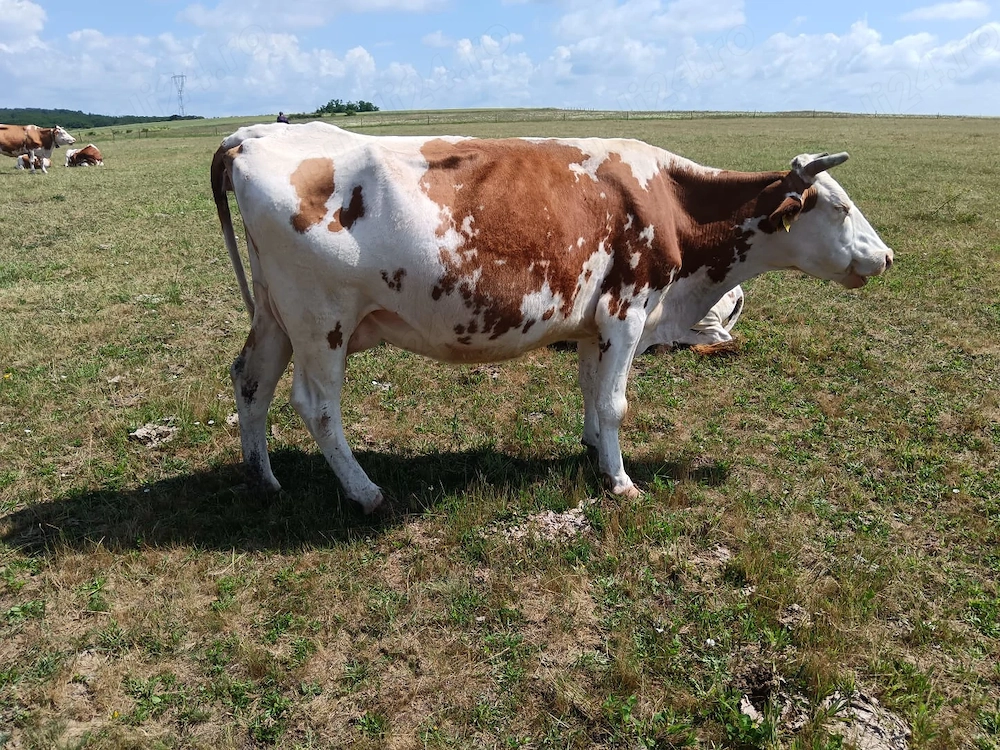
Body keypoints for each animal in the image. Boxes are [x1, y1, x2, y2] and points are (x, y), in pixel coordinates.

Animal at [211, 122, 893, 514]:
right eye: (839, 207)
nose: (885, 255)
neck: (670, 202)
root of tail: (253, 135)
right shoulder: (627, 311)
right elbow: (616, 402)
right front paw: (620, 482)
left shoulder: (594, 323)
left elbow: (592, 391)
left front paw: (594, 451)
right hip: (320, 320)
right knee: (317, 405)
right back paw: (365, 492)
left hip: (275, 314)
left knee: (251, 379)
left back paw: (264, 480)